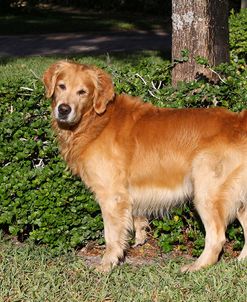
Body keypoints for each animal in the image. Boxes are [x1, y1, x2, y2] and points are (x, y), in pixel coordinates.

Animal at [44, 60, 247, 272]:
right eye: (62, 86)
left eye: (82, 91)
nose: (63, 109)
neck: (96, 119)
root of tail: (238, 121)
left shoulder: (111, 195)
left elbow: (111, 236)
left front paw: (106, 265)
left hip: (207, 193)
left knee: (216, 237)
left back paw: (195, 267)